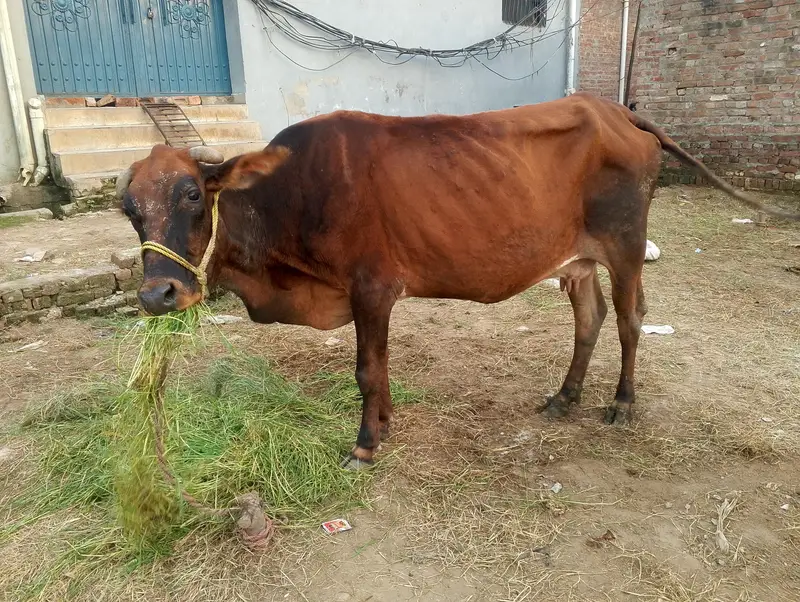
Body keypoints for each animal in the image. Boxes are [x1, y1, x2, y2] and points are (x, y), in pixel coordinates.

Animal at [116, 93, 799, 470]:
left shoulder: (371, 287)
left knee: (631, 319)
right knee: (591, 318)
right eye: (129, 210)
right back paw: (565, 396)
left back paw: (622, 404)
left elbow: (366, 369)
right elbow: (381, 369)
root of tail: (614, 110)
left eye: (192, 195)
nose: (157, 295)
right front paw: (386, 423)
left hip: (627, 244)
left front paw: (366, 443)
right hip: (576, 260)